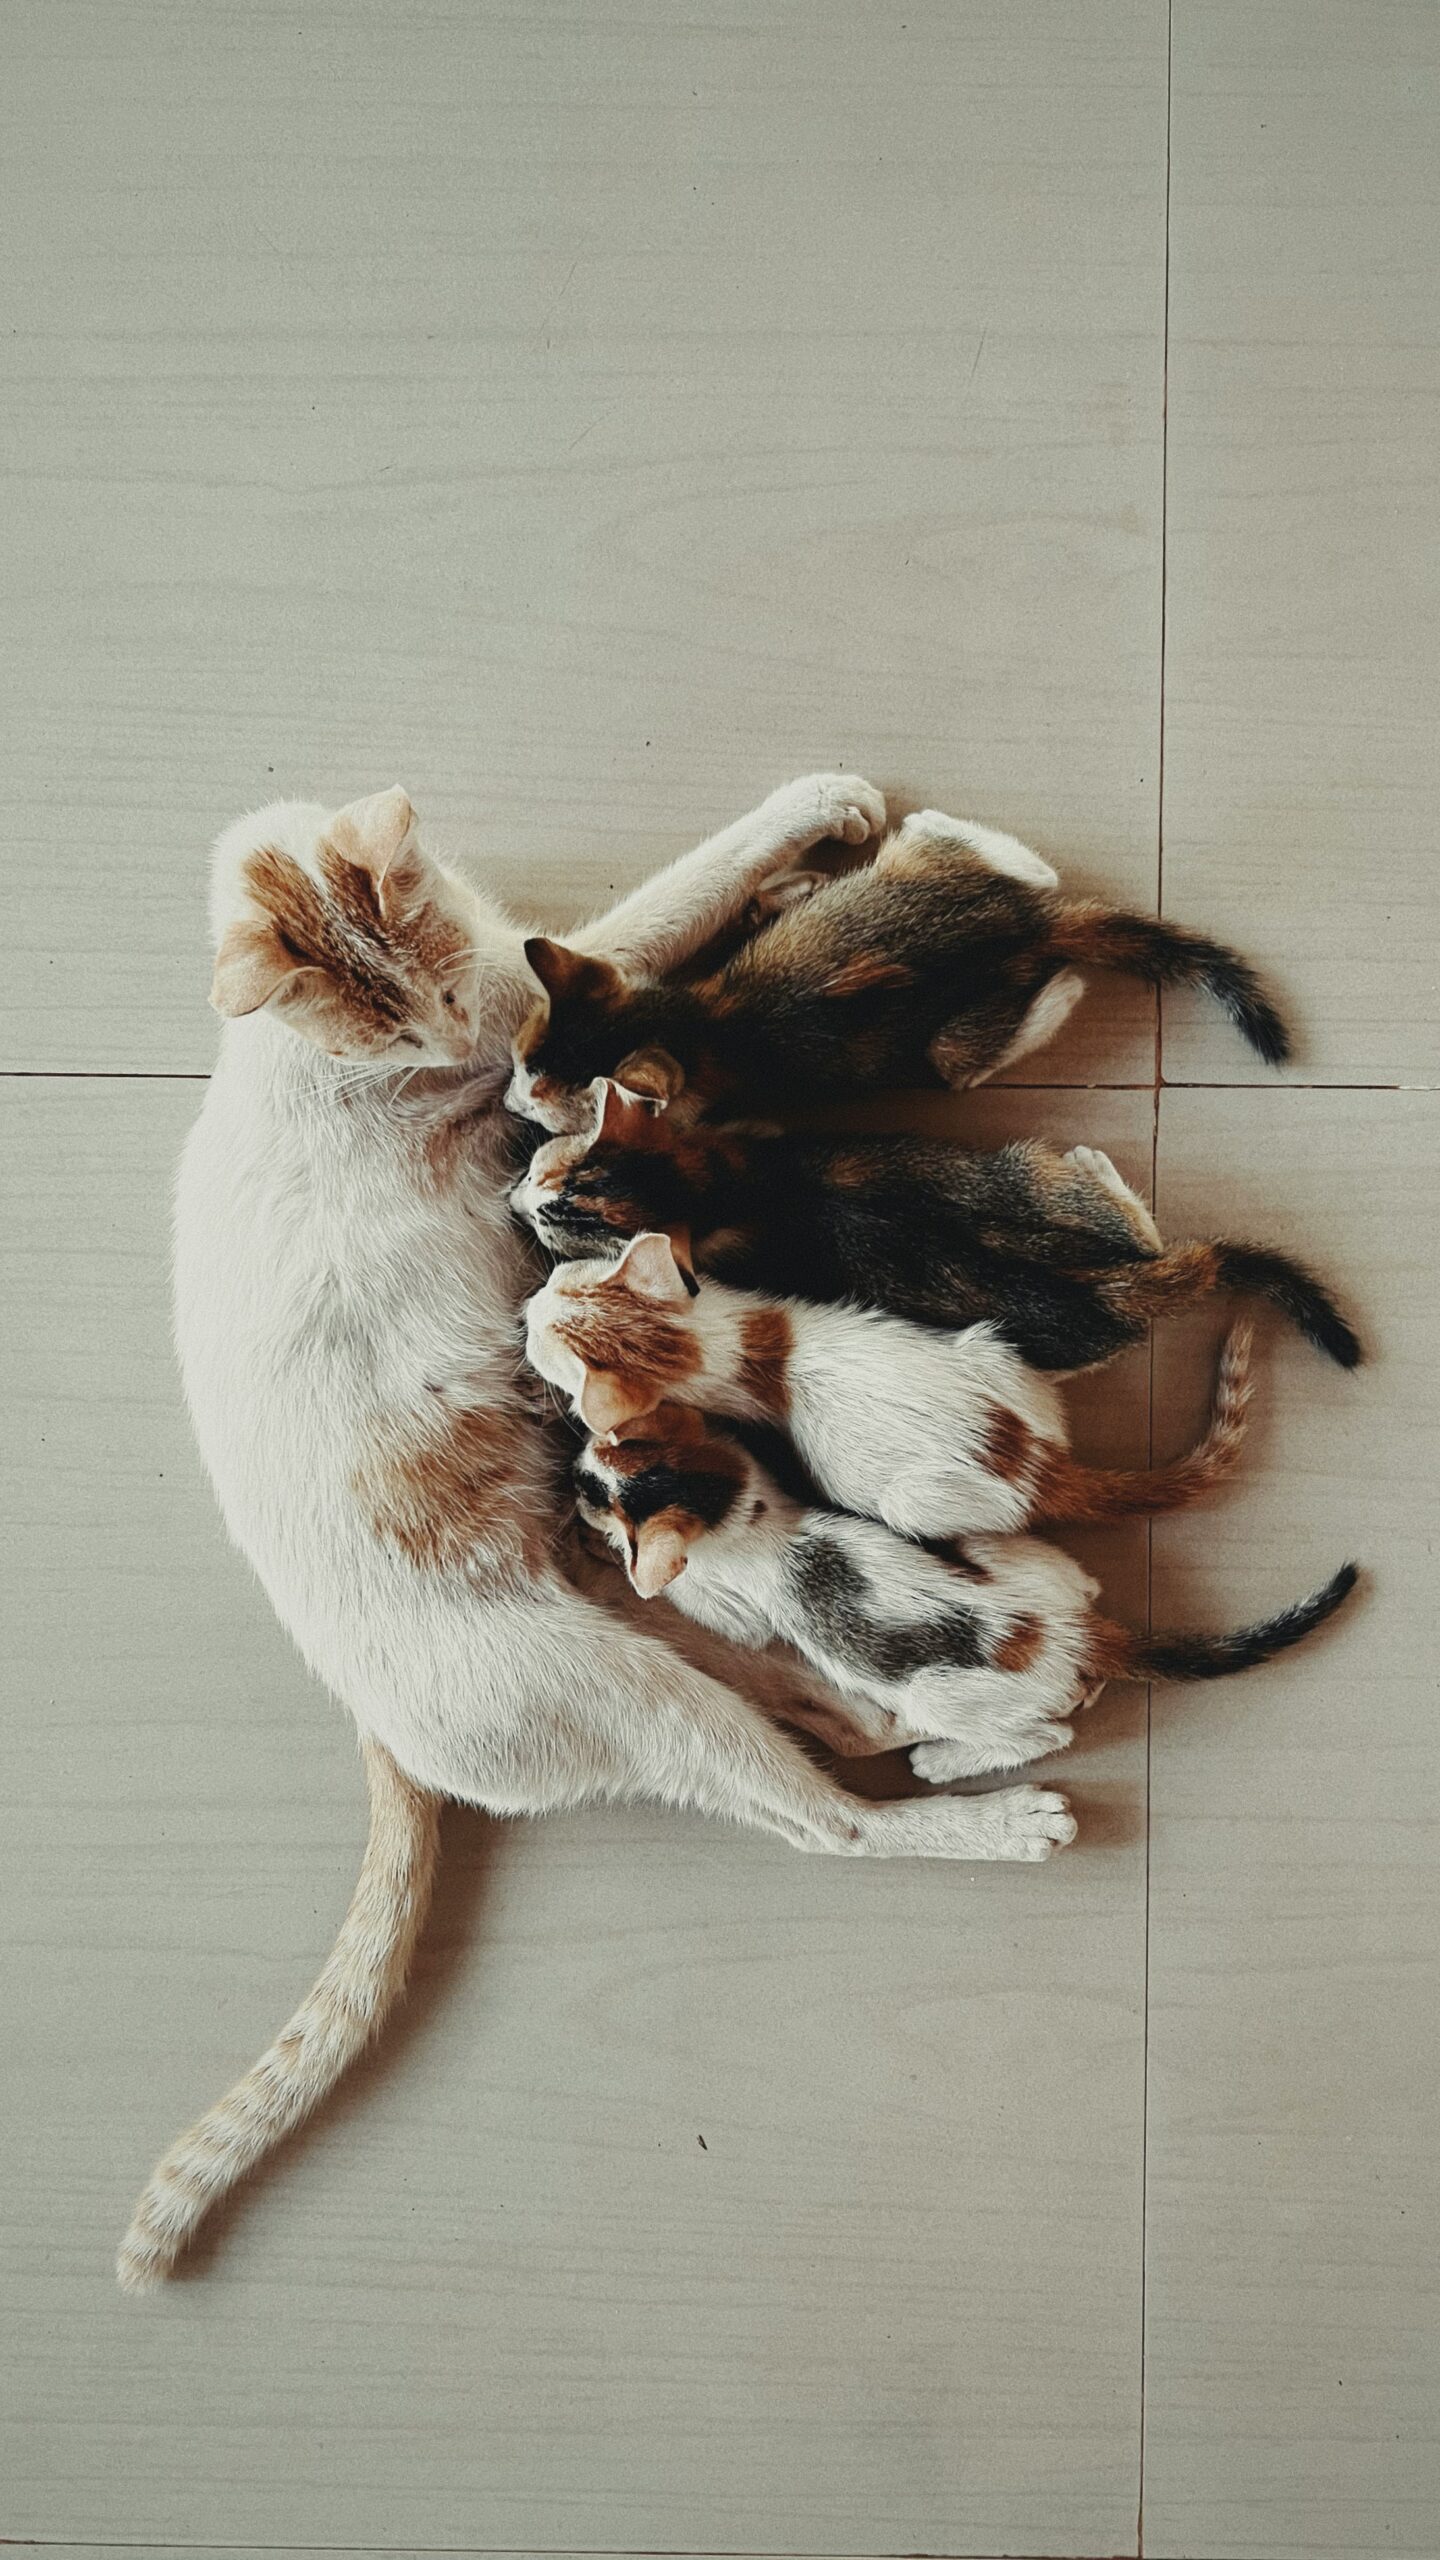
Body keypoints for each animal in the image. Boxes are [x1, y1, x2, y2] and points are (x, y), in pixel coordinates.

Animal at [122, 768, 1086, 2293]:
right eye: (423, 1024)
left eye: (439, 982)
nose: (473, 1038)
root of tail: (373, 1723)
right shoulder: (562, 990)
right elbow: (677, 898)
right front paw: (817, 812)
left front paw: (802, 871)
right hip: (633, 1693)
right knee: (831, 1820)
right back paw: (1009, 1805)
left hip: (645, 1601)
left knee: (843, 1709)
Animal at [502, 798, 1276, 1121]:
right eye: (517, 1061)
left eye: (549, 1108)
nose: (508, 1103)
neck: (697, 1021)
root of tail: (1029, 926)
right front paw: (781, 892)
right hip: (929, 874)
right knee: (1023, 864)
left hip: (947, 1041)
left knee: (965, 1052)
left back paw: (1063, 990)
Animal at [512, 1080, 1352, 1382]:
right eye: (541, 1173)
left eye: (557, 1224)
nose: (514, 1198)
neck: (717, 1187)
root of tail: (1109, 1283)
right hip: (1030, 1178)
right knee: (1125, 1215)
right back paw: (1096, 1167)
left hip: (1063, 1339)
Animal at [520, 1228, 1250, 1525]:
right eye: (559, 1282)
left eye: (537, 1334)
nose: (526, 1307)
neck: (710, 1340)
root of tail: (1042, 1467)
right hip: (993, 1350)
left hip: (915, 1502)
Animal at [573, 1402, 1352, 1781]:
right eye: (595, 1460)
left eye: (593, 1490)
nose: (574, 1470)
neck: (747, 1507)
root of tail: (1080, 1638)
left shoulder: (737, 1611)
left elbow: (700, 1607)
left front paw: (606, 1558)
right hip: (1002, 1553)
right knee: (1086, 1582)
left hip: (939, 1696)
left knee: (1050, 1733)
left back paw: (941, 1762)